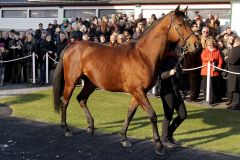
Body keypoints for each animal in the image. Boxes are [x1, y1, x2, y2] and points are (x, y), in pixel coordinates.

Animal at [53, 5, 201, 156]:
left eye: (188, 23)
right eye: (180, 24)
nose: (196, 44)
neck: (143, 56)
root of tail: (71, 46)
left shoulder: (138, 93)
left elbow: (130, 113)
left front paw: (124, 137)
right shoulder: (138, 91)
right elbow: (152, 115)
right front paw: (159, 145)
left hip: (90, 83)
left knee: (81, 99)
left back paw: (90, 126)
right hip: (71, 82)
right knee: (65, 101)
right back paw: (66, 129)